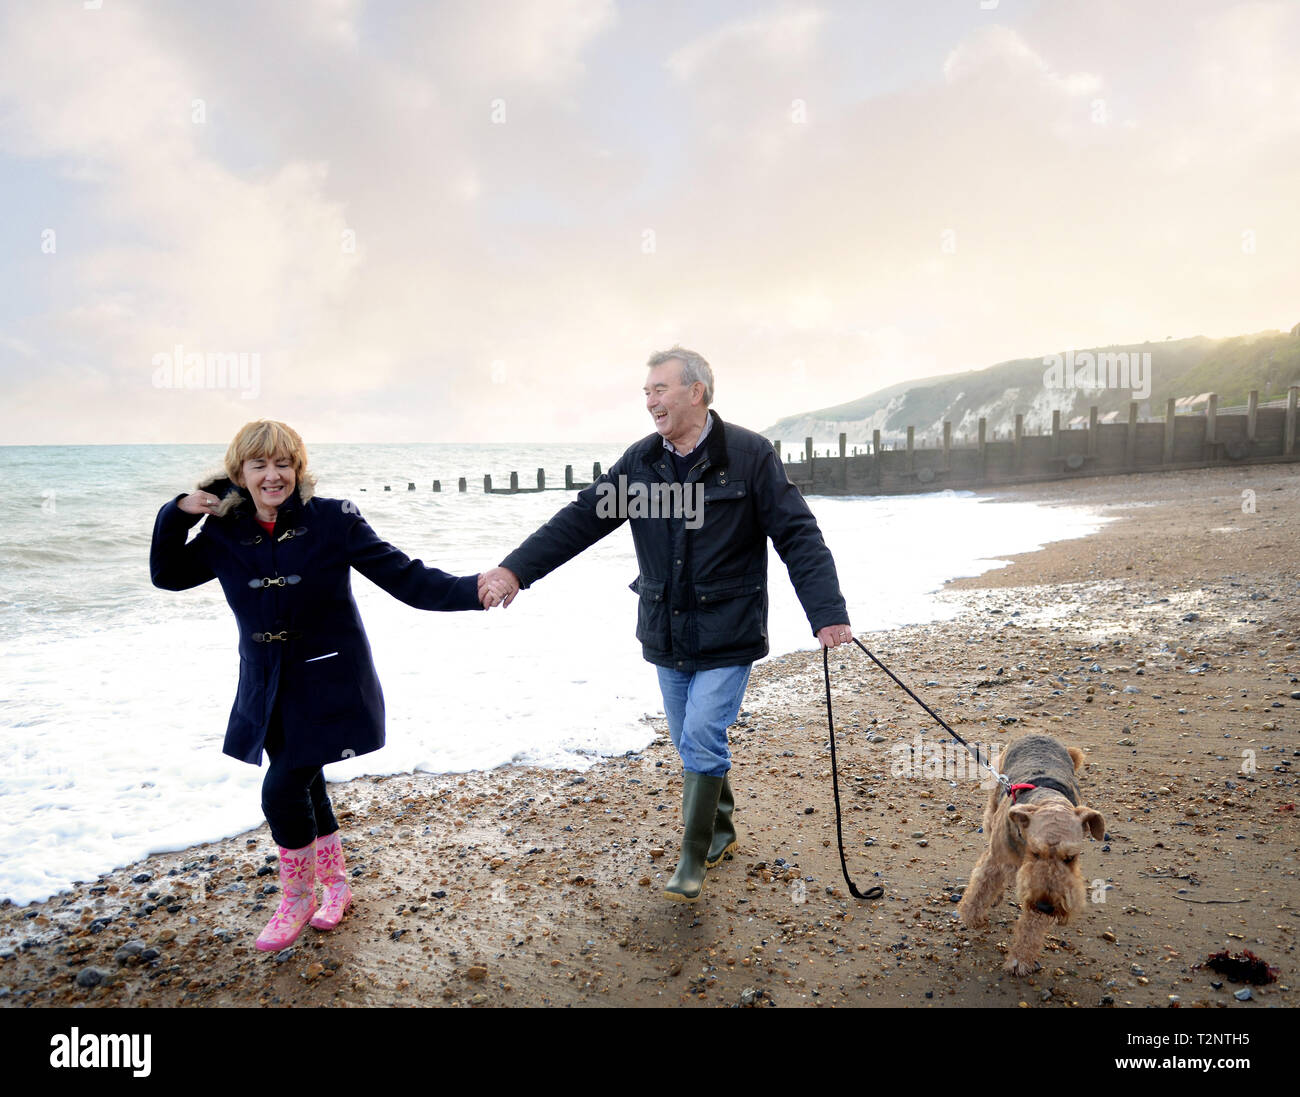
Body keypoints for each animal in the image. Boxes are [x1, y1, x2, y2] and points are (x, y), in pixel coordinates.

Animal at [961, 738, 1102, 977]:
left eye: (1070, 857)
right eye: (1035, 852)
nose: (1046, 906)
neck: (1049, 799)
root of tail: (1039, 734)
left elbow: (1031, 927)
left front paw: (1020, 960)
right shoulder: (995, 860)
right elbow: (979, 890)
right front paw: (972, 918)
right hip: (992, 812)